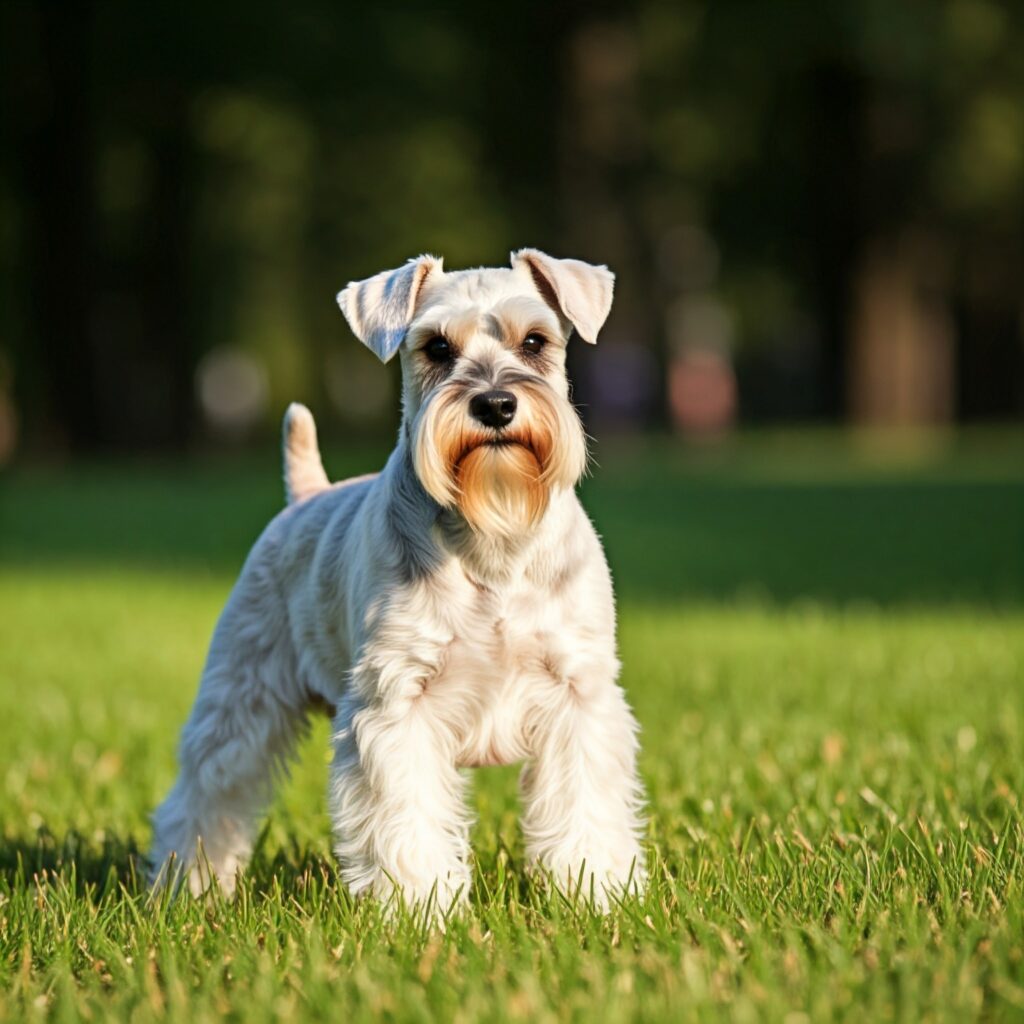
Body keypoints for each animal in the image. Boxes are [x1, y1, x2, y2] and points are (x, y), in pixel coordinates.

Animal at [149, 249, 647, 913]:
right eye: (436, 347)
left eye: (535, 341)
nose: (495, 405)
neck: (494, 538)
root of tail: (306, 494)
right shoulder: (397, 703)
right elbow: (404, 816)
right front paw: (421, 907)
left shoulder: (578, 695)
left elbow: (583, 804)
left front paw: (597, 891)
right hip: (241, 697)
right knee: (207, 793)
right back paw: (188, 887)